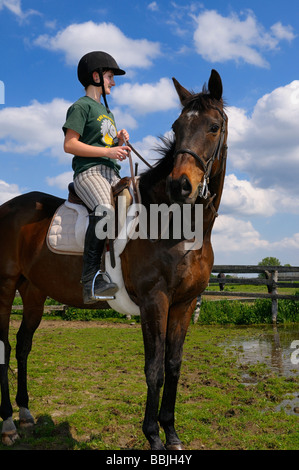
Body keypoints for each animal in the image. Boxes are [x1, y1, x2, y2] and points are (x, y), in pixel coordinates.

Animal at [0, 69, 230, 448]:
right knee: (4, 346)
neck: (177, 225)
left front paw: (171, 432)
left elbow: (173, 365)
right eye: (177, 126)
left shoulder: (184, 303)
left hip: (33, 291)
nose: (180, 186)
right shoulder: (155, 300)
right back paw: (8, 424)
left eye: (213, 126)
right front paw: (152, 436)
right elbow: (154, 369)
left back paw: (26, 414)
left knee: (22, 345)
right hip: (5, 288)